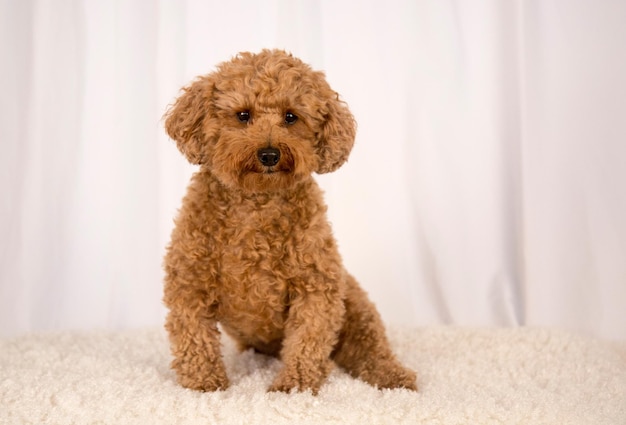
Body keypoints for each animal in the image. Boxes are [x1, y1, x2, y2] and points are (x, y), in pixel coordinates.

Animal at [162, 49, 414, 394]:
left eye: (291, 117)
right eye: (243, 115)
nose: (269, 154)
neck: (257, 202)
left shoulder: (317, 287)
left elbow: (308, 341)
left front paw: (293, 387)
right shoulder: (190, 282)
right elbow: (195, 339)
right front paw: (205, 386)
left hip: (356, 307)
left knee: (371, 350)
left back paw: (395, 377)